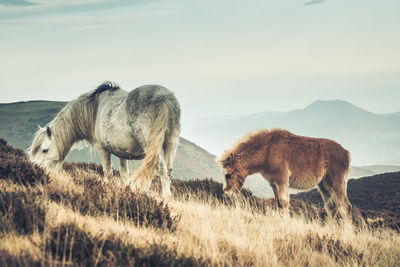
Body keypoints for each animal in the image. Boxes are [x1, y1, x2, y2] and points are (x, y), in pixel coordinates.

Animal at [29, 81, 181, 197]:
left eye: (44, 150)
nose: (36, 170)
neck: (94, 108)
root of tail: (164, 97)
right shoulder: (122, 153)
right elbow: (124, 174)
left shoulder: (102, 148)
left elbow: (107, 172)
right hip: (171, 143)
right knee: (168, 171)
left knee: (161, 169)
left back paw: (165, 197)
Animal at [217, 130, 352, 220]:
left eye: (228, 175)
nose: (226, 194)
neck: (268, 151)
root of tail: (346, 153)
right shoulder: (273, 183)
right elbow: (278, 203)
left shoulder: (281, 180)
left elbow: (284, 202)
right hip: (324, 186)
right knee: (331, 208)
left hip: (336, 183)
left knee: (345, 207)